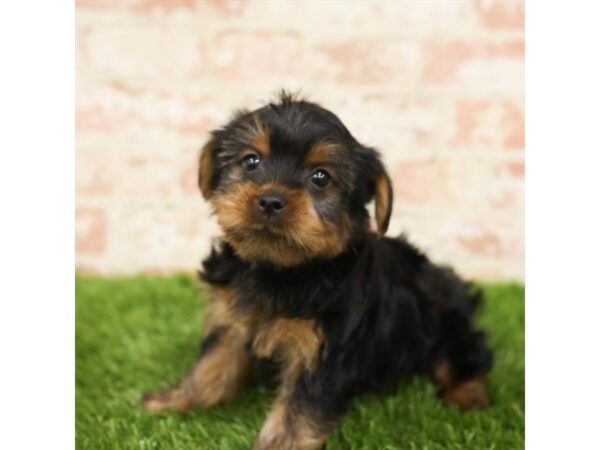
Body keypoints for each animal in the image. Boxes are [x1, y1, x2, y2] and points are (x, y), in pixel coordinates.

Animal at [141, 92, 492, 450]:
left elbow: (299, 408)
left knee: (466, 358)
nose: (270, 201)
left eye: (320, 177)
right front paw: (180, 400)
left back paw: (468, 397)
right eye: (251, 161)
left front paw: (279, 444)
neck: (282, 270)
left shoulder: (325, 347)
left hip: (446, 321)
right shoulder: (230, 316)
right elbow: (213, 364)